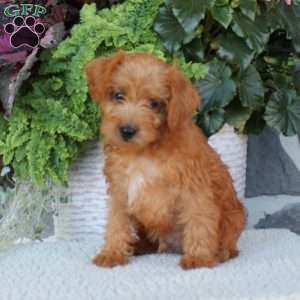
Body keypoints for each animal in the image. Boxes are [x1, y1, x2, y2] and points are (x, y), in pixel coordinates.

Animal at [85, 51, 246, 270]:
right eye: (118, 95)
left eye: (154, 103)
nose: (127, 131)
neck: (144, 152)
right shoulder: (120, 191)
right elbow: (117, 223)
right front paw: (112, 252)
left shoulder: (195, 190)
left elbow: (199, 222)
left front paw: (198, 257)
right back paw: (137, 247)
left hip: (234, 218)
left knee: (229, 243)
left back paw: (220, 253)